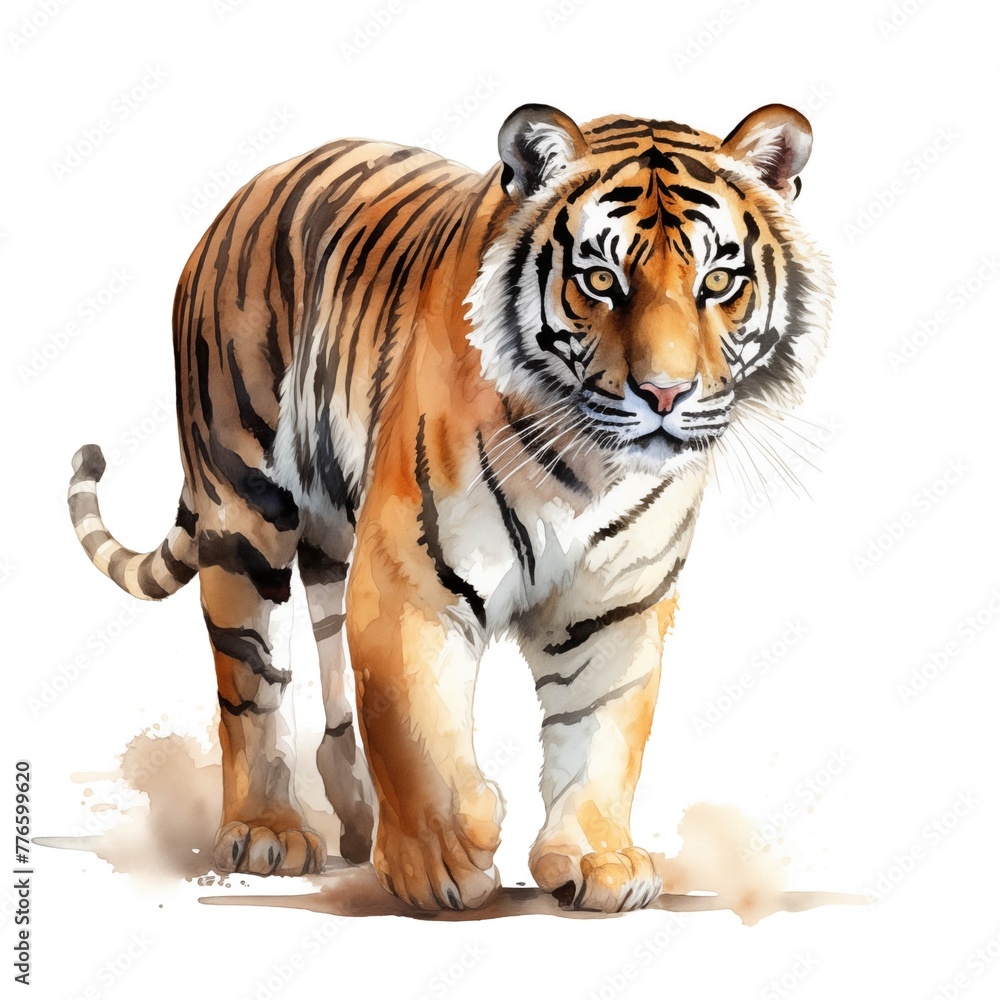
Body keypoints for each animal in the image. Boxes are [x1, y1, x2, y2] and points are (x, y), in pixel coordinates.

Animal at [67, 102, 831, 912]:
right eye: (599, 279)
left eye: (718, 282)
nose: (665, 394)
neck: (589, 469)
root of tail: (245, 194)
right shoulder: (410, 578)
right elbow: (414, 724)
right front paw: (443, 858)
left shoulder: (616, 605)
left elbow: (602, 730)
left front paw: (598, 860)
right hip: (243, 509)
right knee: (250, 680)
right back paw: (267, 830)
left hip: (332, 530)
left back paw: (354, 821)